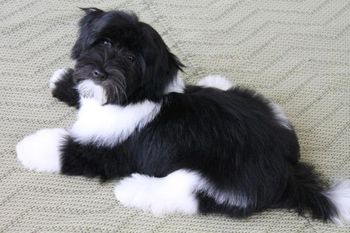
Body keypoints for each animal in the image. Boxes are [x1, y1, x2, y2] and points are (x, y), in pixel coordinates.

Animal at [17, 7, 350, 224]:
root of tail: (287, 171)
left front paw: (29, 147)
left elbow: (67, 149)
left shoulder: (109, 149)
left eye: (130, 59)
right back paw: (215, 82)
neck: (133, 97)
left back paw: (133, 188)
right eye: (105, 42)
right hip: (267, 108)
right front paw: (65, 81)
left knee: (181, 194)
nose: (100, 72)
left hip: (210, 183)